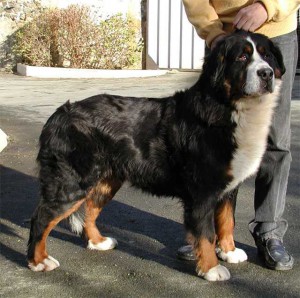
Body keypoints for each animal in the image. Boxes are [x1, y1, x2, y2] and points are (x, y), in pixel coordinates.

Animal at [27, 31, 286, 280]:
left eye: (267, 55)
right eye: (242, 57)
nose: (266, 73)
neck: (229, 109)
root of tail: (60, 113)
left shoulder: (228, 188)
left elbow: (227, 221)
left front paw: (229, 251)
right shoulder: (203, 191)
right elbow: (206, 234)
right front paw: (211, 268)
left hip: (107, 180)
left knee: (90, 210)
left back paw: (98, 242)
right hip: (72, 183)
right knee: (41, 218)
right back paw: (39, 261)